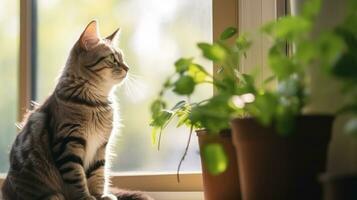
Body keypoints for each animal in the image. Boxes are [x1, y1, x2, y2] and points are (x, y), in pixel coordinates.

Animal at [0, 20, 153, 200]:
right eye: (112, 59)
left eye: (122, 58)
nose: (127, 68)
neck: (95, 103)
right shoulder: (68, 143)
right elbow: (76, 177)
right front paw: (85, 197)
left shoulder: (100, 145)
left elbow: (98, 174)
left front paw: (100, 195)